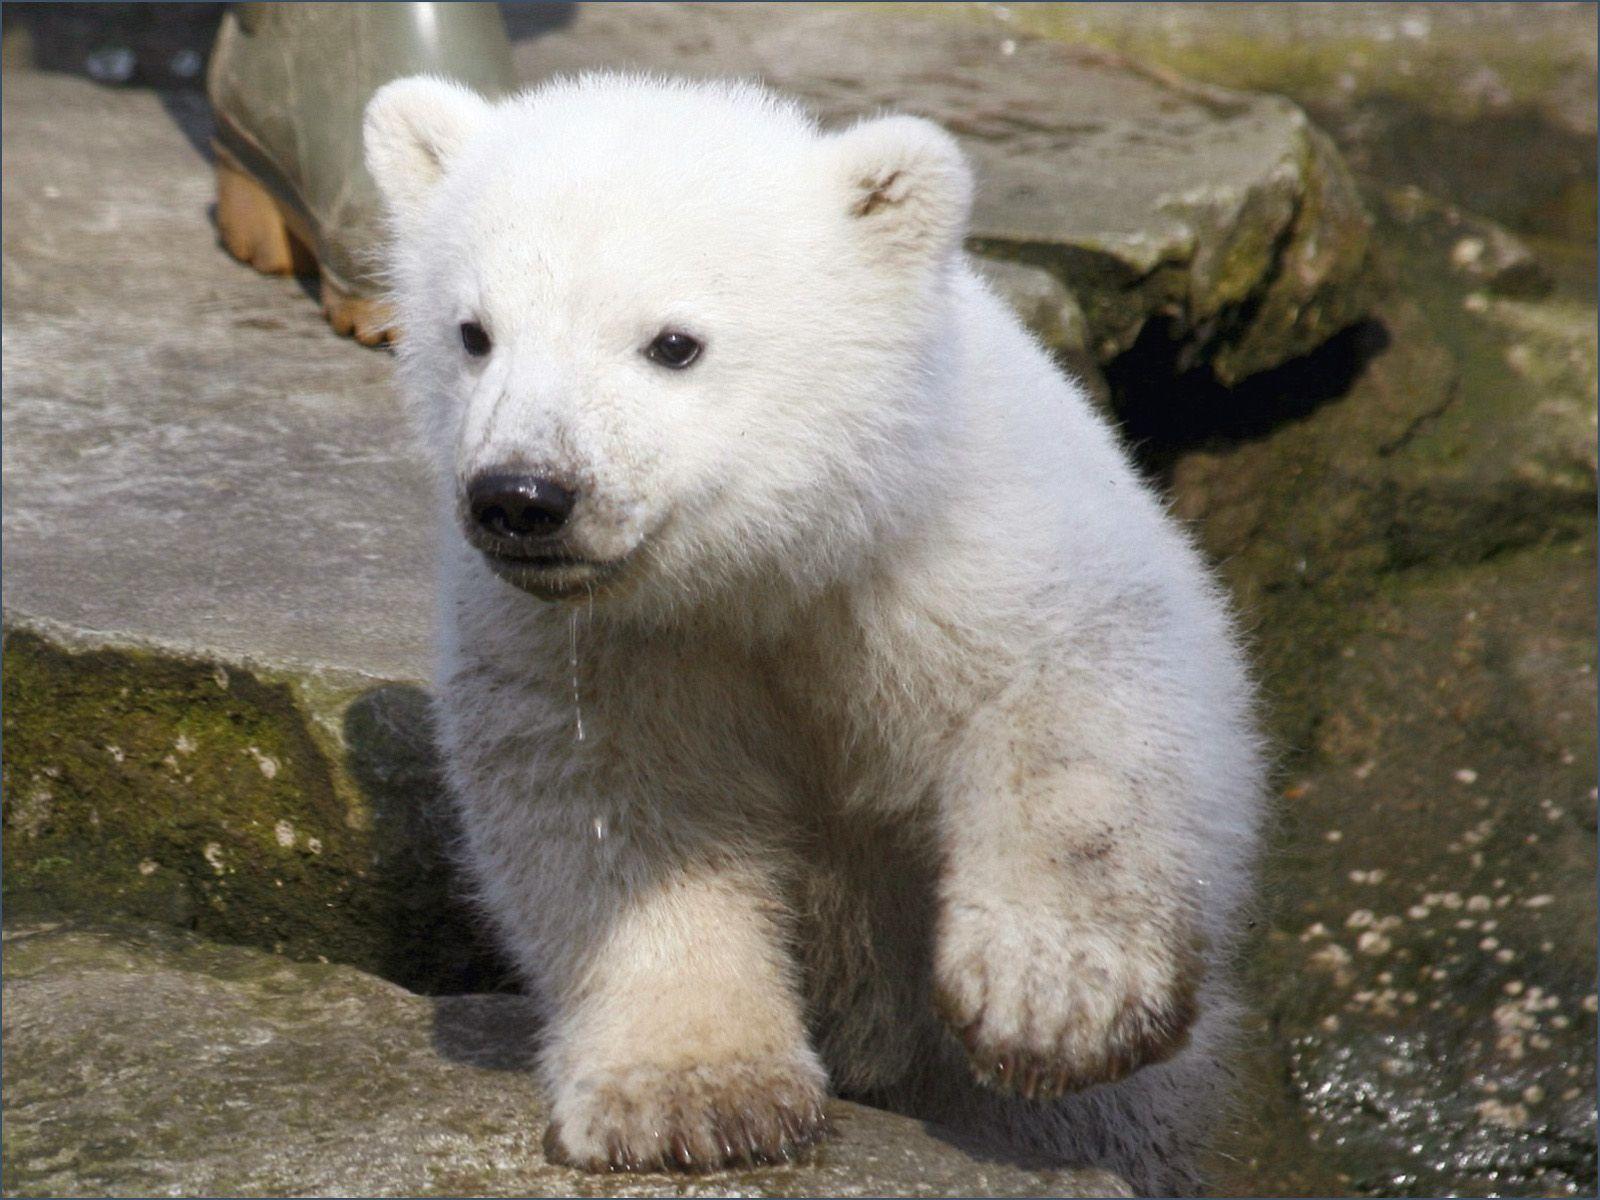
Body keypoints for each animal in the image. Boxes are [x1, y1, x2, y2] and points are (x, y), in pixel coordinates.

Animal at [363, 73, 1264, 1194]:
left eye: (673, 342)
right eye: (473, 333)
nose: (524, 496)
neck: (773, 568)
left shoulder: (969, 544)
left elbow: (1082, 693)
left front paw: (1054, 994)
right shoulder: (600, 647)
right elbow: (614, 813)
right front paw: (692, 1097)